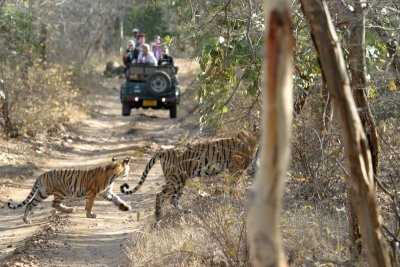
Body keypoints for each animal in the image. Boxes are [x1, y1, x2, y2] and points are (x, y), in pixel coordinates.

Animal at [122, 130, 260, 222]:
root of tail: (164, 151)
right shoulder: (236, 169)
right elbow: (235, 187)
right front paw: (236, 200)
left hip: (181, 182)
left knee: (172, 200)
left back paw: (186, 212)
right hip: (176, 180)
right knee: (160, 194)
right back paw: (158, 216)